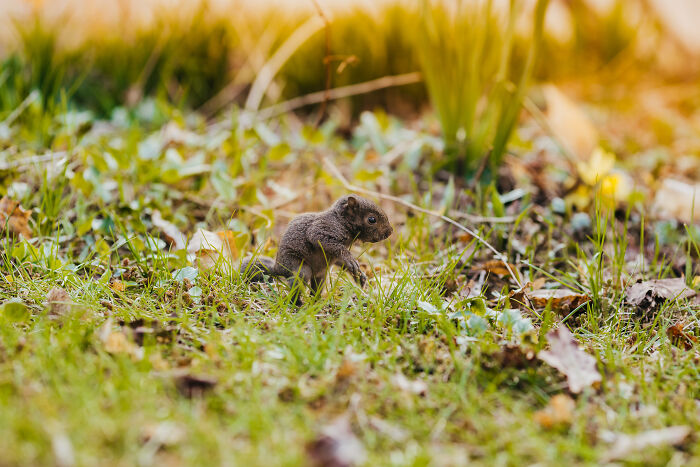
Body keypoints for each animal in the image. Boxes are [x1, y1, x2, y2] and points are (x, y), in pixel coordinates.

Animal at [240, 195, 393, 305]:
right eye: (372, 219)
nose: (390, 232)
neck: (341, 221)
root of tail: (278, 268)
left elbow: (341, 261)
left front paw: (359, 275)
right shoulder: (322, 230)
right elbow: (327, 242)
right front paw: (351, 260)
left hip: (320, 276)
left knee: (316, 289)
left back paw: (317, 302)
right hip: (299, 269)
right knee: (297, 283)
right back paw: (297, 303)